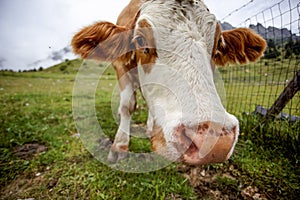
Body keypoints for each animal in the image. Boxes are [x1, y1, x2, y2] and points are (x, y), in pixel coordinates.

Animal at [71, 0, 268, 166]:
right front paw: (119, 146)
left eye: (218, 44)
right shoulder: (120, 66)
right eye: (140, 40)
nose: (215, 140)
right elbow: (127, 105)